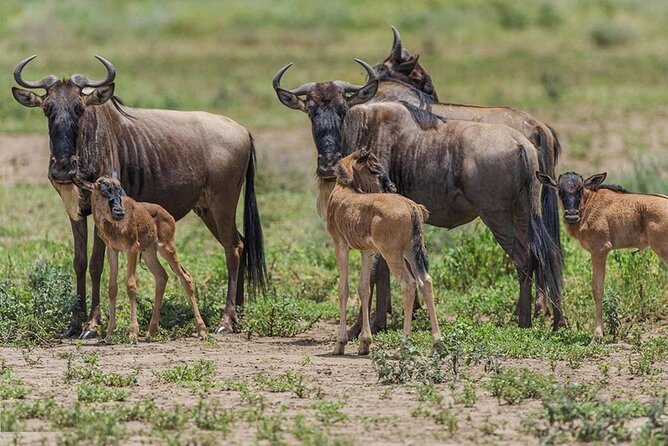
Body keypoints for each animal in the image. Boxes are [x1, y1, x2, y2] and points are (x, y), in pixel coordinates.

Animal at [78, 175, 207, 341]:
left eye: (120, 190)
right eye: (103, 190)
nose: (119, 212)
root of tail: (167, 214)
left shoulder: (131, 249)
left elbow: (131, 285)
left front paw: (133, 332)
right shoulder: (113, 250)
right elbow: (112, 288)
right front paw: (110, 333)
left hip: (167, 248)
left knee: (185, 276)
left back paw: (202, 330)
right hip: (148, 253)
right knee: (162, 276)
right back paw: (151, 331)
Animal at [327, 150, 440, 355]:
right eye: (374, 167)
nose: (391, 186)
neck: (344, 189)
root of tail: (412, 207)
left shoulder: (340, 246)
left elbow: (343, 289)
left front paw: (340, 343)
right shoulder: (367, 252)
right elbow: (364, 289)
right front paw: (364, 343)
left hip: (392, 254)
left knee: (408, 283)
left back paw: (404, 344)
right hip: (410, 252)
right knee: (425, 281)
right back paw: (437, 343)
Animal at [537, 171, 668, 340]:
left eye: (580, 189)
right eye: (560, 190)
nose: (571, 216)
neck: (588, 204)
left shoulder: (599, 251)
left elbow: (597, 290)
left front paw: (597, 335)